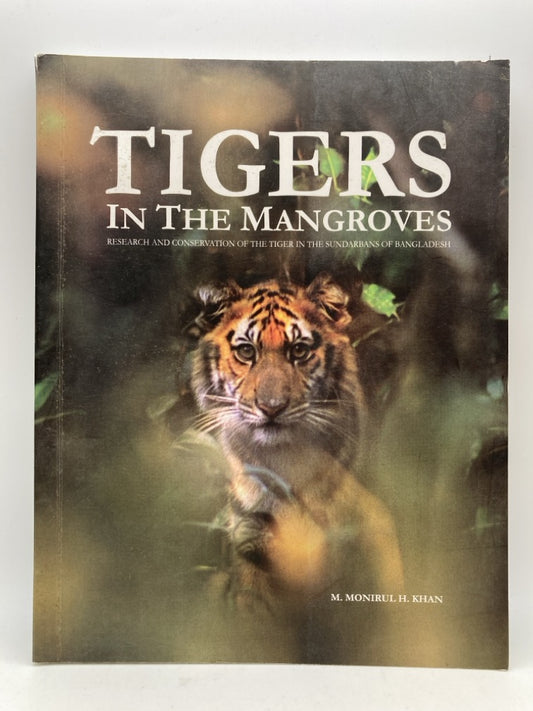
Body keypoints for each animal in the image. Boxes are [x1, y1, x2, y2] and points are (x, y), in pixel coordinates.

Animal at [191, 273, 404, 610]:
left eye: (299, 350)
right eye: (246, 352)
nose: (271, 407)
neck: (283, 459)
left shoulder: (365, 524)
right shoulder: (251, 538)